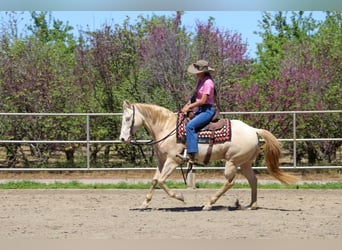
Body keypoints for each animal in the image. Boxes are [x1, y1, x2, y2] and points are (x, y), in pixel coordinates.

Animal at [119, 100, 298, 210]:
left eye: (127, 118)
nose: (122, 139)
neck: (167, 128)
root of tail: (253, 130)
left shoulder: (173, 161)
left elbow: (162, 181)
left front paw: (180, 197)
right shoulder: (162, 161)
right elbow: (155, 180)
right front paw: (144, 203)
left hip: (232, 162)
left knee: (230, 182)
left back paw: (209, 204)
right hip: (244, 163)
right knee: (253, 180)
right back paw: (250, 205)